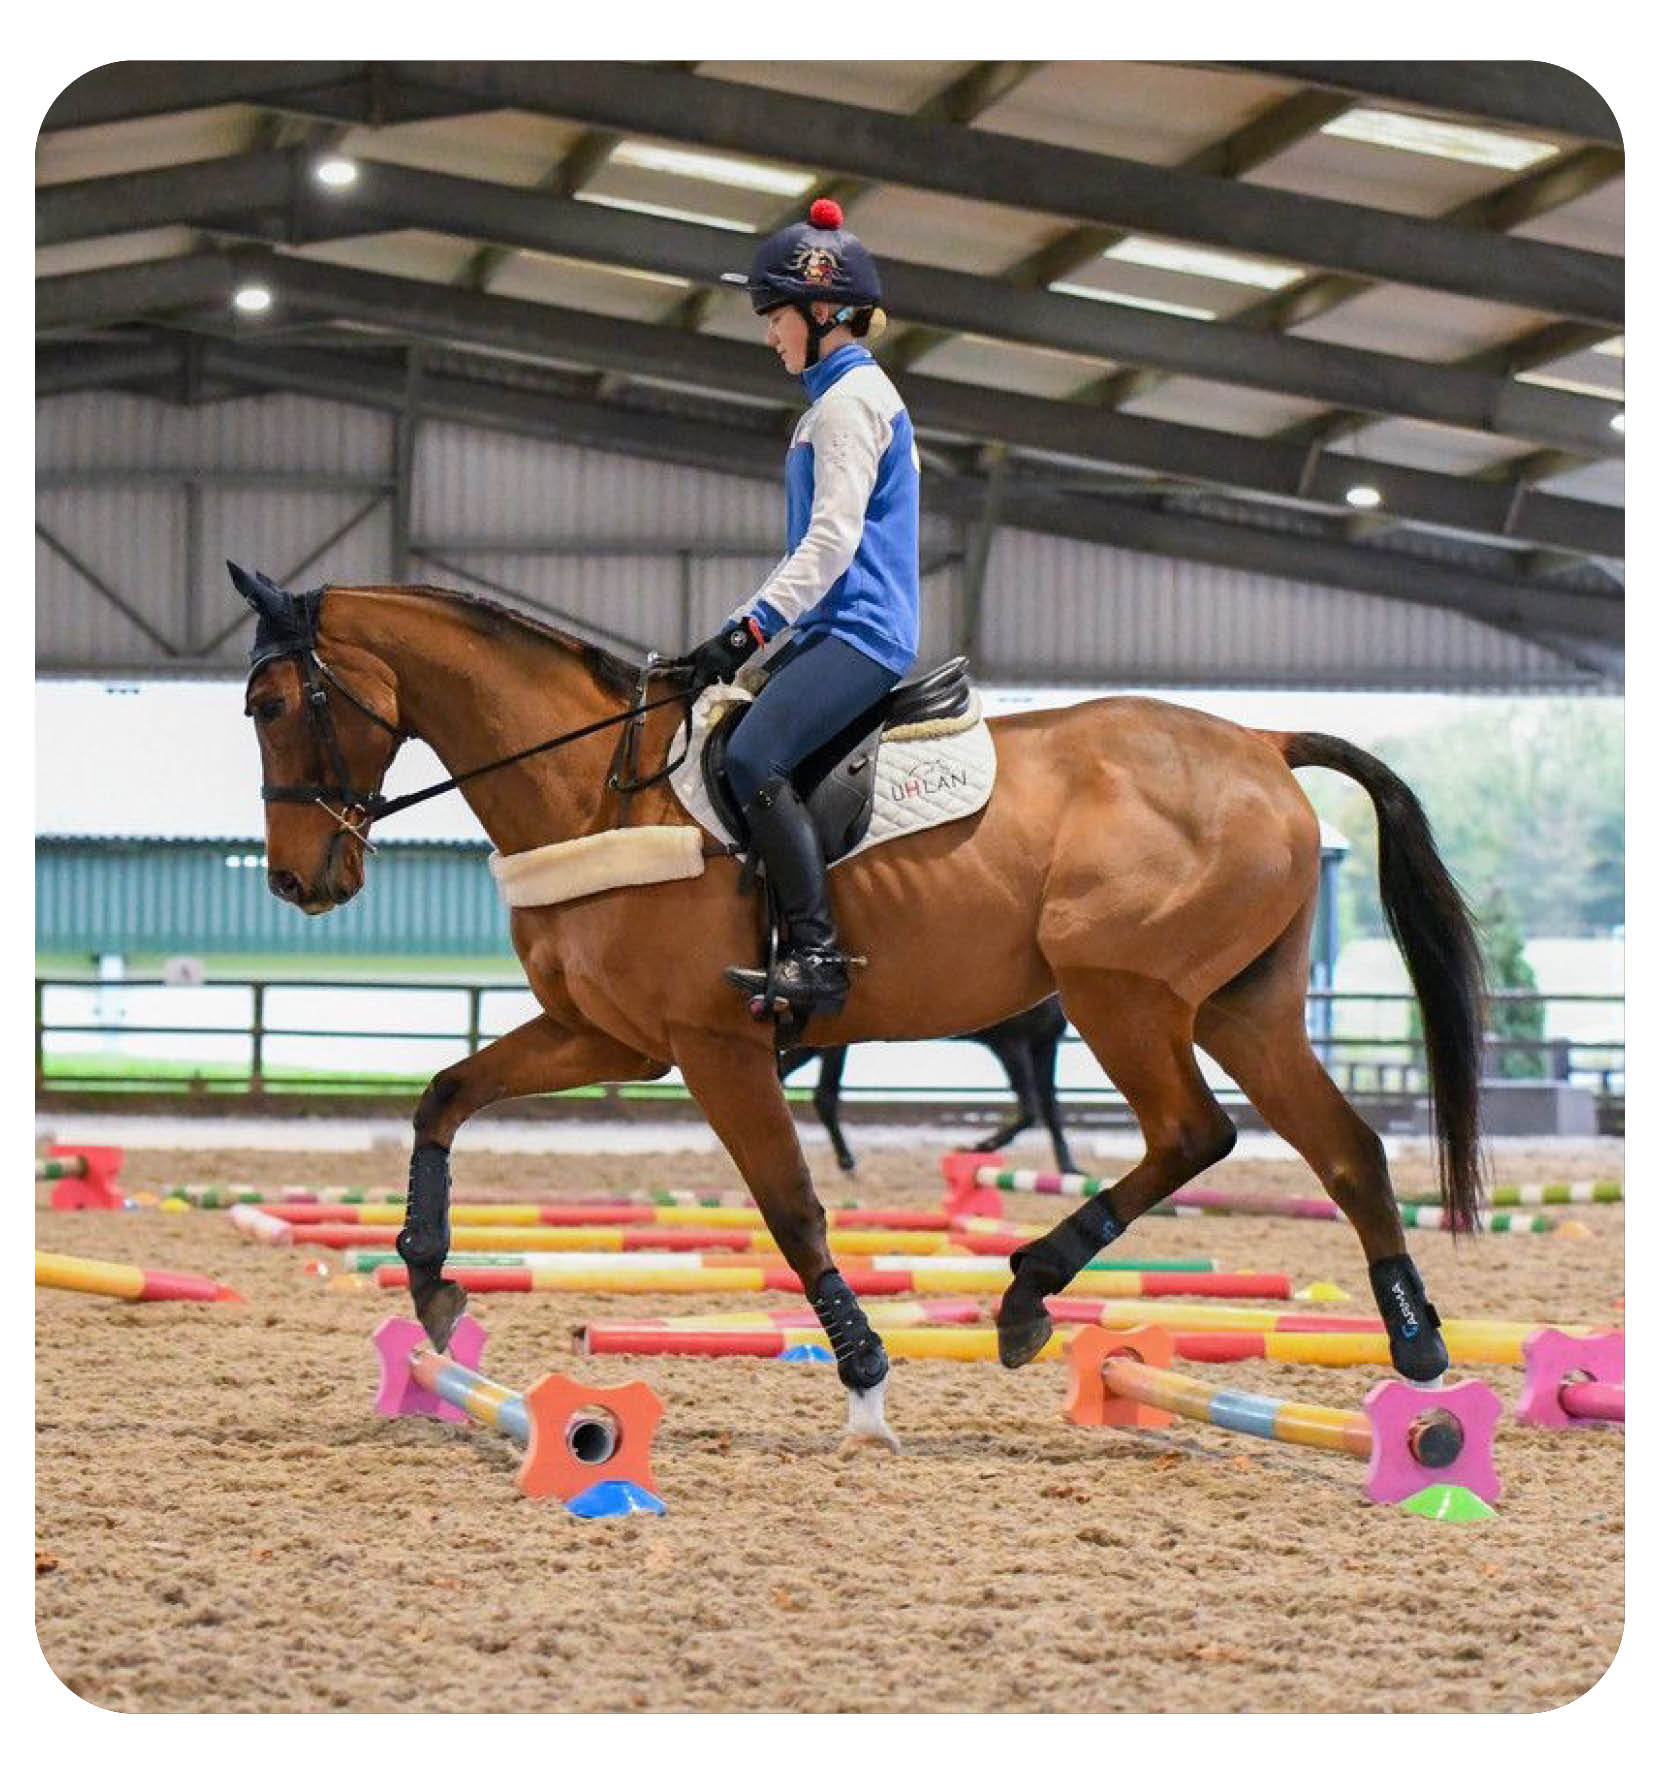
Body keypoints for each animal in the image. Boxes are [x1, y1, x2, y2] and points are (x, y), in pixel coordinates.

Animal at [779, 998, 1077, 1175]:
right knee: (819, 1093)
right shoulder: (1010, 1044)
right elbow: (1030, 1111)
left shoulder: (1045, 1046)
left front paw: (1070, 1169)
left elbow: (1051, 1109)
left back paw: (845, 1163)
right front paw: (979, 1146)